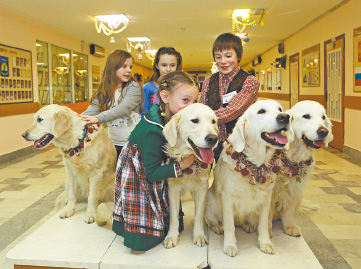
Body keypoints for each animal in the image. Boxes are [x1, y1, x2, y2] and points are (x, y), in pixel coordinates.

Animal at [162, 102, 218, 247]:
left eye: (213, 121)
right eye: (195, 120)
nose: (213, 138)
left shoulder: (202, 188)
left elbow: (198, 215)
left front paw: (199, 235)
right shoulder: (173, 188)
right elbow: (174, 217)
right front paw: (171, 236)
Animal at [204, 99, 292, 255]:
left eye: (280, 109)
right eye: (261, 111)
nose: (285, 117)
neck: (255, 166)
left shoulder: (266, 199)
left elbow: (263, 224)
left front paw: (265, 243)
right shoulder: (228, 198)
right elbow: (229, 225)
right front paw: (230, 245)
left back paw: (248, 226)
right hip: (210, 202)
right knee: (214, 221)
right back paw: (219, 227)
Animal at [270, 99, 332, 236]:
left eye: (323, 117)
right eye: (306, 116)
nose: (324, 131)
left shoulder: (295, 188)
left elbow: (289, 209)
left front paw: (290, 226)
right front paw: (266, 230)